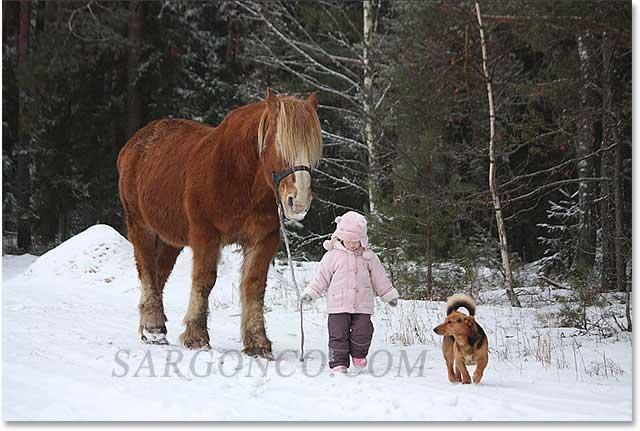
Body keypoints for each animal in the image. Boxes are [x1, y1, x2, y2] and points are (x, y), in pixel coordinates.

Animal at [117, 88, 322, 358]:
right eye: (279, 145)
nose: (298, 203)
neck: (240, 179)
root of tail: (133, 145)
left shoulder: (263, 239)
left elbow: (254, 285)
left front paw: (257, 341)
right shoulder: (206, 235)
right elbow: (204, 280)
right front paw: (196, 335)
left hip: (171, 239)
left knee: (159, 275)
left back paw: (150, 326)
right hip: (141, 226)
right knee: (148, 272)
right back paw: (154, 327)